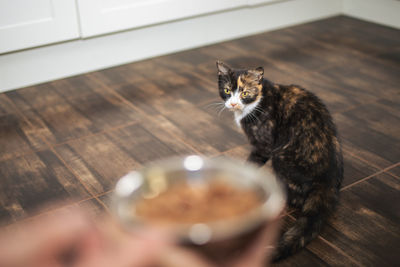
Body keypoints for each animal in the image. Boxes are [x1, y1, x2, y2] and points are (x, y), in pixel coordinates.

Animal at [216, 60, 344, 262]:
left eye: (245, 93)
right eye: (227, 90)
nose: (233, 103)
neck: (259, 99)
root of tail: (326, 181)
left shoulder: (263, 146)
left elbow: (251, 165)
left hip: (280, 157)